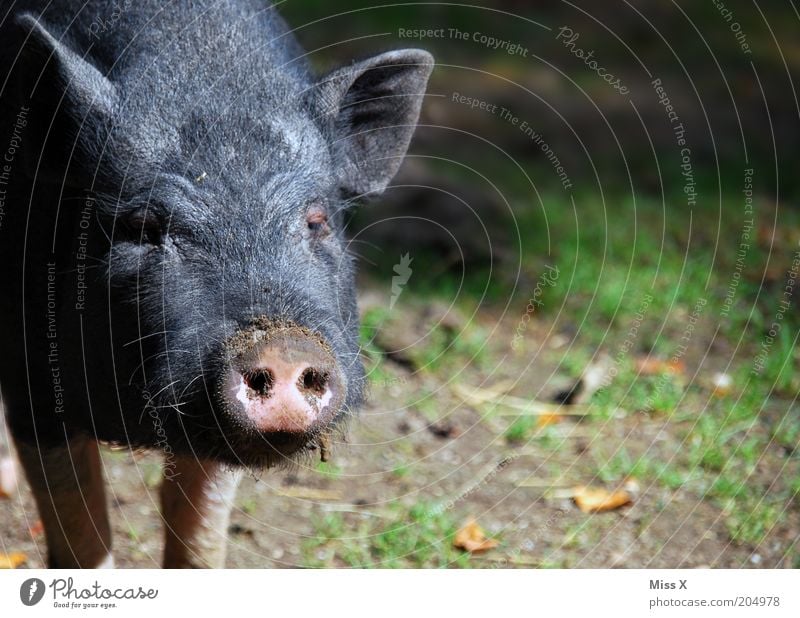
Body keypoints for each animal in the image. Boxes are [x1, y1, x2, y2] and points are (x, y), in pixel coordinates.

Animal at [0, 0, 432, 564]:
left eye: (316, 221)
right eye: (143, 226)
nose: (283, 346)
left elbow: (197, 522)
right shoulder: (28, 370)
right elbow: (80, 523)